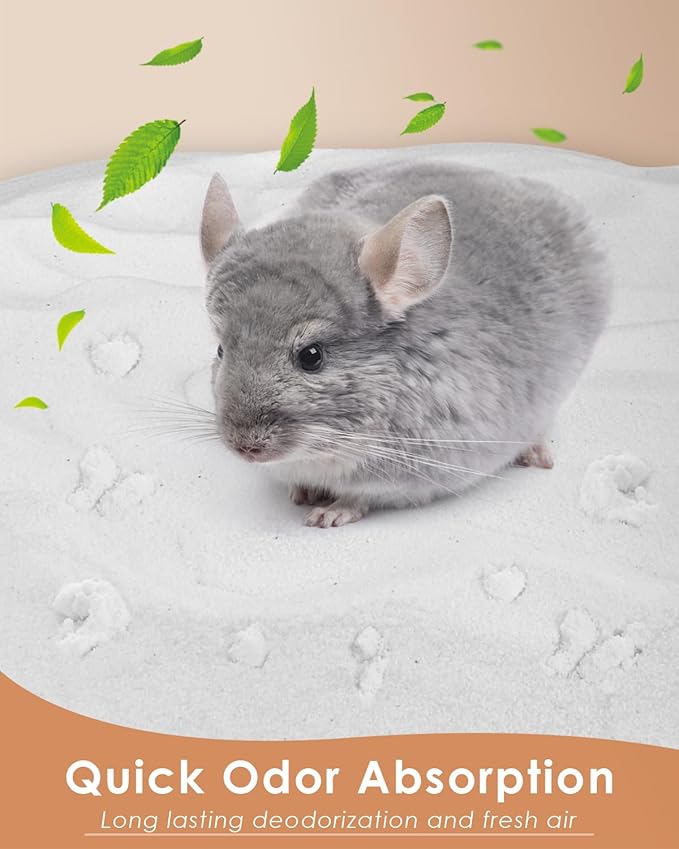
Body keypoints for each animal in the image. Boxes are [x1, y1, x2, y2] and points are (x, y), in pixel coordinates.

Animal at [200, 161, 610, 528]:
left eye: (311, 356)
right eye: (220, 349)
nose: (245, 447)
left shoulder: (408, 474)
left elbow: (359, 498)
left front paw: (329, 513)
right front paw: (302, 492)